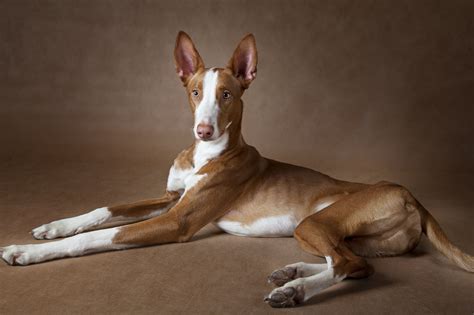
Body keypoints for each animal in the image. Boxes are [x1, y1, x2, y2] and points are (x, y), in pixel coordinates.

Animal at [1, 31, 472, 308]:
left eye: (227, 94)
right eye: (195, 92)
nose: (203, 129)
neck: (205, 155)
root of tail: (411, 194)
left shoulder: (178, 220)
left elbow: (97, 237)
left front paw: (26, 251)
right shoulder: (171, 199)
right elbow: (102, 210)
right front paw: (52, 226)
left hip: (318, 222)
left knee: (344, 263)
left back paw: (295, 289)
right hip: (342, 236)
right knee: (357, 264)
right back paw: (291, 273)